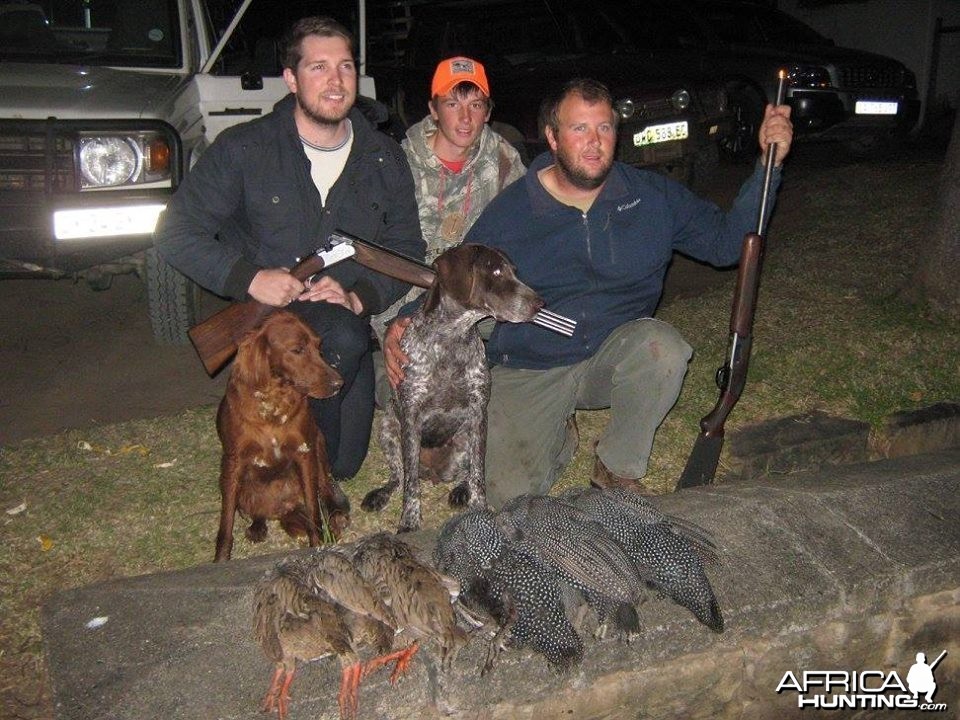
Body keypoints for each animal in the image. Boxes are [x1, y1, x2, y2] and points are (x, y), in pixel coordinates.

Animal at [214, 310, 352, 564]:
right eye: (297, 350)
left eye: (319, 347)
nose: (339, 383)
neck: (274, 405)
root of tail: (284, 507)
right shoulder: (233, 462)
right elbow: (226, 523)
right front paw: (220, 561)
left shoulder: (305, 452)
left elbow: (314, 512)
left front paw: (317, 544)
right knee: (255, 510)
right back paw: (257, 527)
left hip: (319, 443)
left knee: (325, 488)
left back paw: (336, 515)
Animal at [362, 245, 544, 532]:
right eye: (495, 271)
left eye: (514, 271)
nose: (540, 303)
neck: (450, 340)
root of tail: (432, 473)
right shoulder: (410, 416)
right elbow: (410, 483)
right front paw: (410, 520)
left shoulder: (479, 413)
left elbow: (478, 473)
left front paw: (480, 511)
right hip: (388, 428)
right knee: (399, 476)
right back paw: (381, 494)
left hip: (462, 440)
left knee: (464, 472)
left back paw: (460, 490)